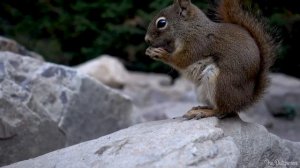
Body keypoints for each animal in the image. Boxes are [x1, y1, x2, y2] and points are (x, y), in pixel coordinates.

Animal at [145, 0, 276, 119]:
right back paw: (201, 108)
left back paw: (204, 112)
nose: (146, 39)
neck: (191, 28)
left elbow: (180, 60)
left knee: (223, 110)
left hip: (221, 83)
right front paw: (150, 50)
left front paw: (161, 54)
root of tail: (245, 100)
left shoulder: (197, 44)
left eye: (161, 23)